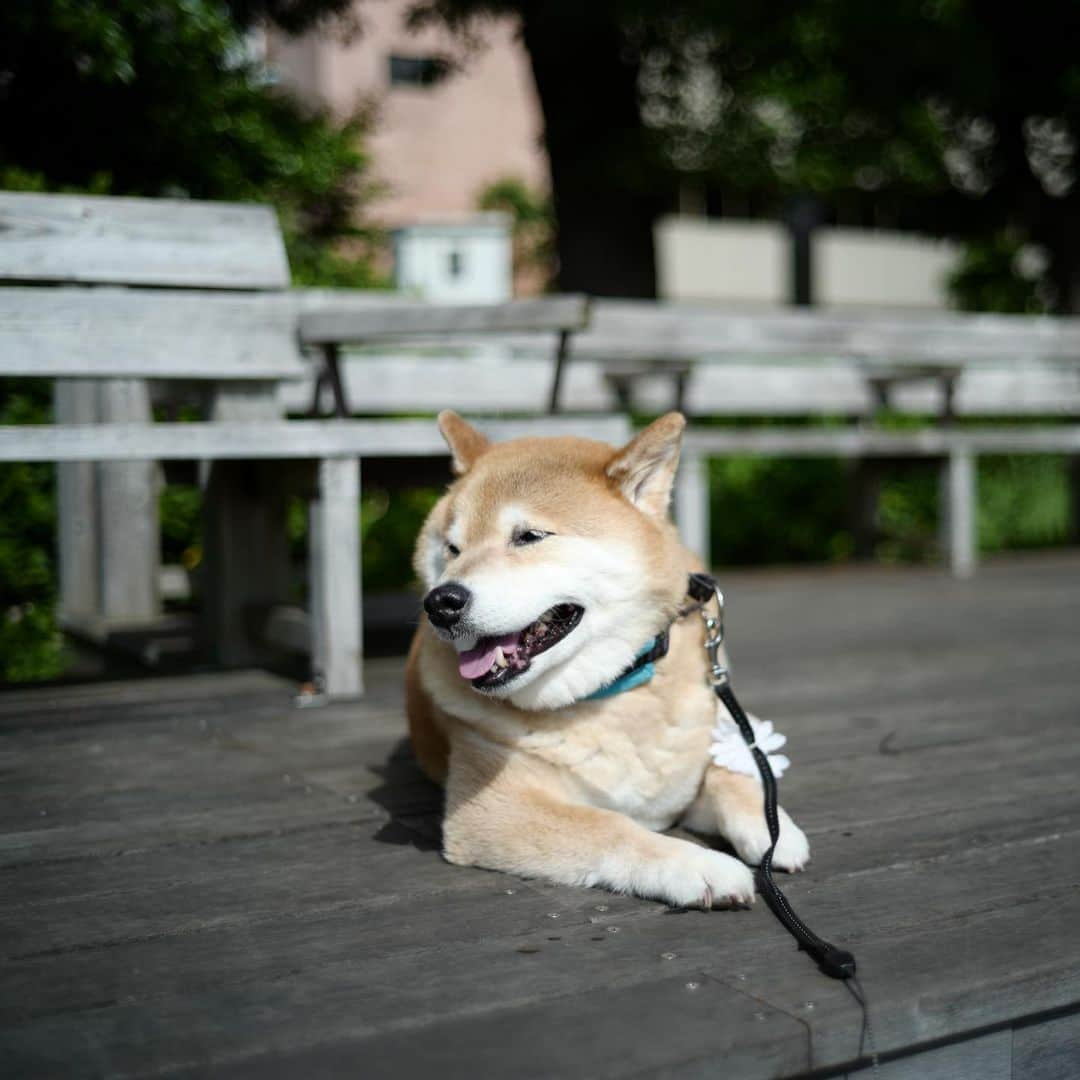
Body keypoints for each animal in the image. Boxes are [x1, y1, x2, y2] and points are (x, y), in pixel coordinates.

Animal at [406, 408, 812, 907]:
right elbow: (610, 826)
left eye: (529, 536)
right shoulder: (491, 807)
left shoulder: (709, 735)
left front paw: (772, 827)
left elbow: (733, 772)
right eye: (452, 548)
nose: (441, 602)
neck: (613, 694)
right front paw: (699, 866)